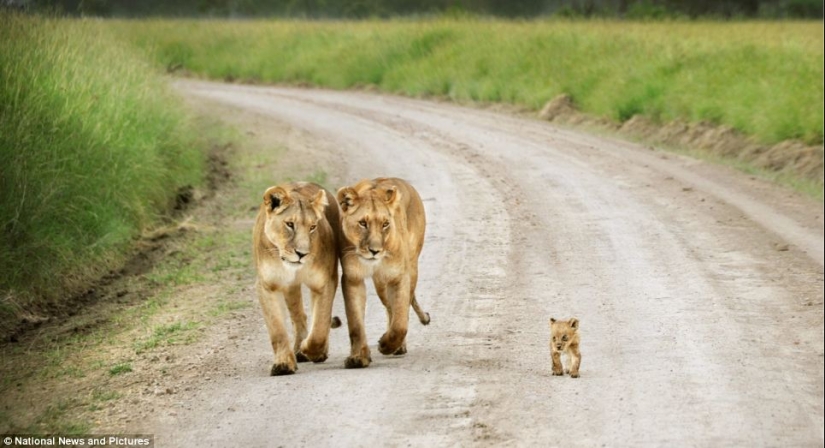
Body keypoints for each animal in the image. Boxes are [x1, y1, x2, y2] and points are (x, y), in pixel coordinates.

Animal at [253, 182, 342, 376]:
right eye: (289, 224)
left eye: (313, 227)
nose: (302, 254)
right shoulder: (267, 286)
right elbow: (277, 329)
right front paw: (283, 364)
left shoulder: (324, 282)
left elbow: (320, 325)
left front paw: (312, 350)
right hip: (290, 288)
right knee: (298, 315)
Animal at [336, 177, 430, 368]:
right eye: (362, 223)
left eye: (385, 224)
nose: (375, 251)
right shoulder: (352, 278)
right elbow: (355, 323)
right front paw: (358, 357)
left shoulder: (399, 276)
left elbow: (400, 321)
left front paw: (386, 345)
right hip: (380, 282)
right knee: (389, 307)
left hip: (411, 268)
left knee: (402, 308)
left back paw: (398, 346)